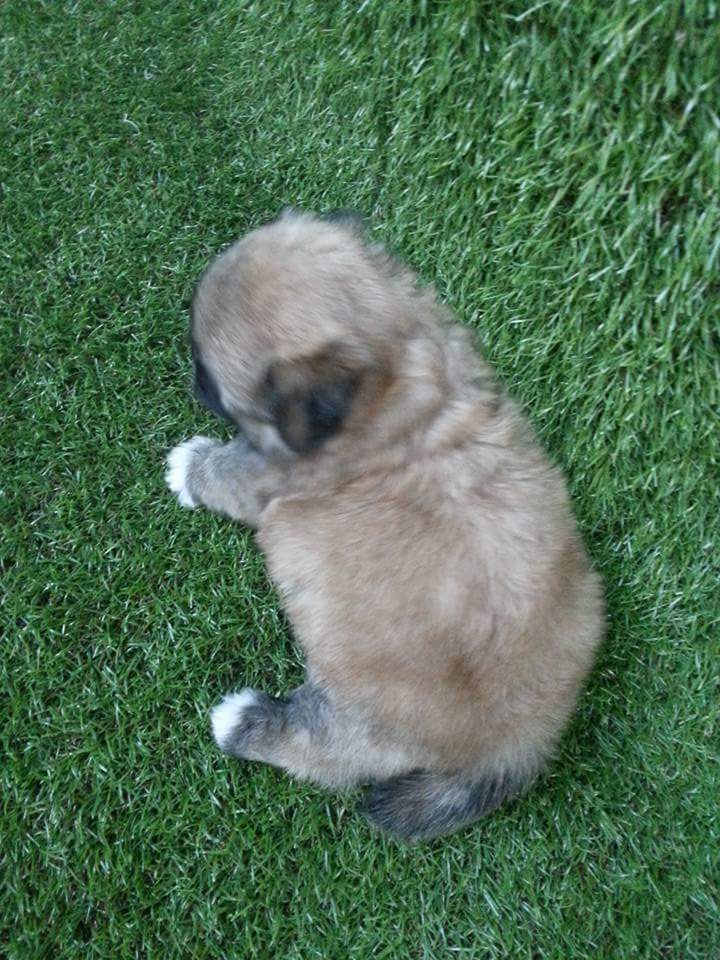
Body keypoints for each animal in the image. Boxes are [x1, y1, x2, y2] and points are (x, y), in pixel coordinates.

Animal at [165, 210, 604, 841]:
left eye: (209, 372)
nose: (192, 378)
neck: (399, 384)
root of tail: (515, 745)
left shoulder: (269, 476)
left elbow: (226, 470)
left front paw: (188, 466)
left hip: (355, 715)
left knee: (320, 752)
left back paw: (242, 721)